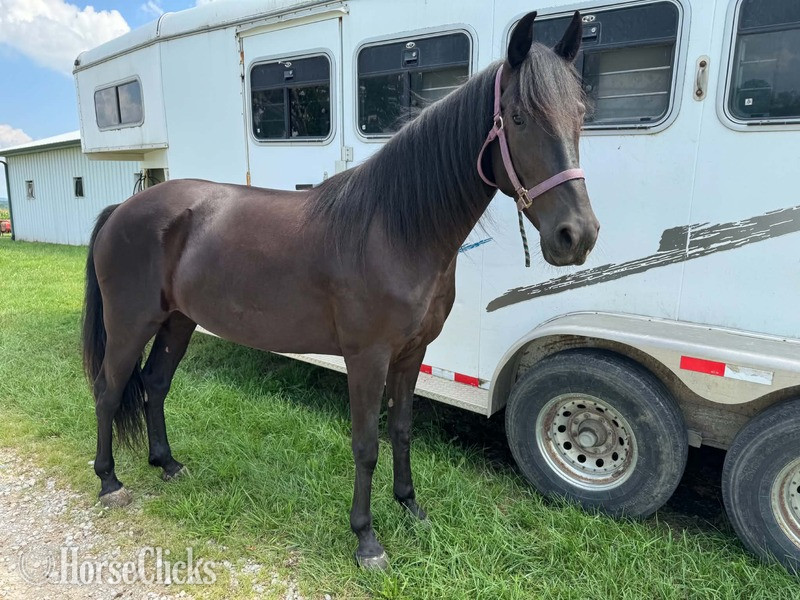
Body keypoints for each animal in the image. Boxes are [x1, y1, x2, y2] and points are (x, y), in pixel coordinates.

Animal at [81, 11, 599, 569]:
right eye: (520, 117)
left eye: (580, 114)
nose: (577, 235)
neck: (395, 229)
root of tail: (123, 209)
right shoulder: (367, 357)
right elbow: (366, 443)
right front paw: (366, 539)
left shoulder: (412, 353)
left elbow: (401, 431)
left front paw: (411, 508)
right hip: (131, 322)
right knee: (109, 389)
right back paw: (110, 481)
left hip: (178, 320)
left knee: (155, 385)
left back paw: (168, 463)